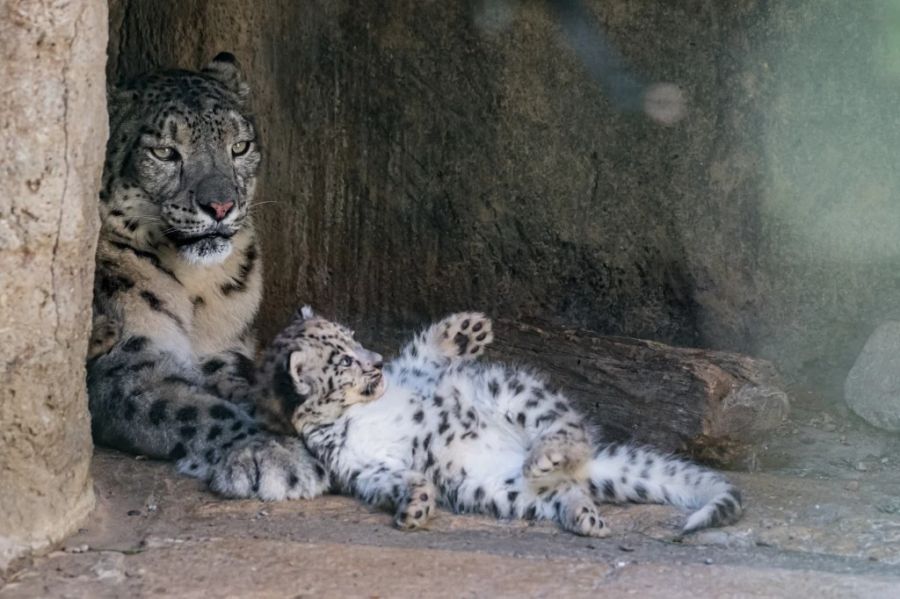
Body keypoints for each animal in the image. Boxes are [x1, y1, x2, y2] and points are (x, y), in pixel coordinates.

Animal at [85, 52, 326, 502]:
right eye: (164, 151)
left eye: (240, 146)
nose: (221, 206)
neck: (198, 292)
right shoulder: (127, 361)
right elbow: (192, 407)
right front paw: (274, 454)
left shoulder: (224, 348)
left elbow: (243, 385)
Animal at [255, 308, 744, 536]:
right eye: (344, 361)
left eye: (354, 338)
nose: (374, 361)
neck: (359, 411)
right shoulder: (360, 467)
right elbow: (398, 480)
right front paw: (414, 507)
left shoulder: (415, 373)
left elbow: (422, 350)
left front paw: (467, 329)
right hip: (495, 488)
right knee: (565, 488)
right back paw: (583, 514)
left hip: (509, 389)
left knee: (569, 429)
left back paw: (547, 455)